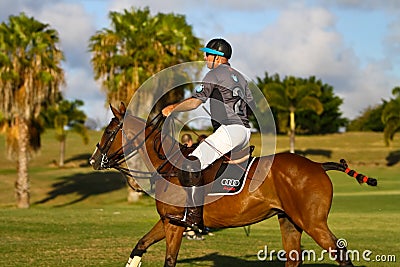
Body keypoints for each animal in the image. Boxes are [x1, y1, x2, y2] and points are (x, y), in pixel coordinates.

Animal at [89, 103, 376, 267]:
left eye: (109, 131)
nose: (93, 160)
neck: (167, 165)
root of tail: (318, 166)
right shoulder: (169, 220)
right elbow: (140, 245)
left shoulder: (175, 225)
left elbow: (170, 260)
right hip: (290, 221)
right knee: (294, 259)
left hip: (313, 222)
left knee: (341, 255)